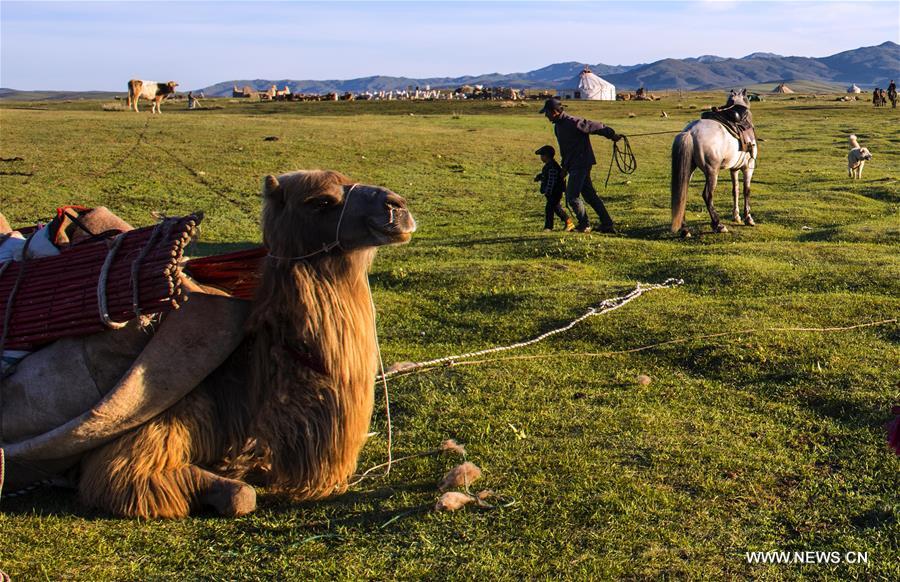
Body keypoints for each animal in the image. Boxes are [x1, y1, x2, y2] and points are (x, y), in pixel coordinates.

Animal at [672, 89, 756, 235]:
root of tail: (690, 132)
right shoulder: (749, 166)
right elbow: (747, 190)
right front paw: (748, 218)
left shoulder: (734, 169)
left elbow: (735, 190)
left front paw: (736, 216)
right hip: (712, 171)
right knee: (707, 195)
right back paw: (718, 224)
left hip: (689, 169)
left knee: (683, 194)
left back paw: (685, 229)